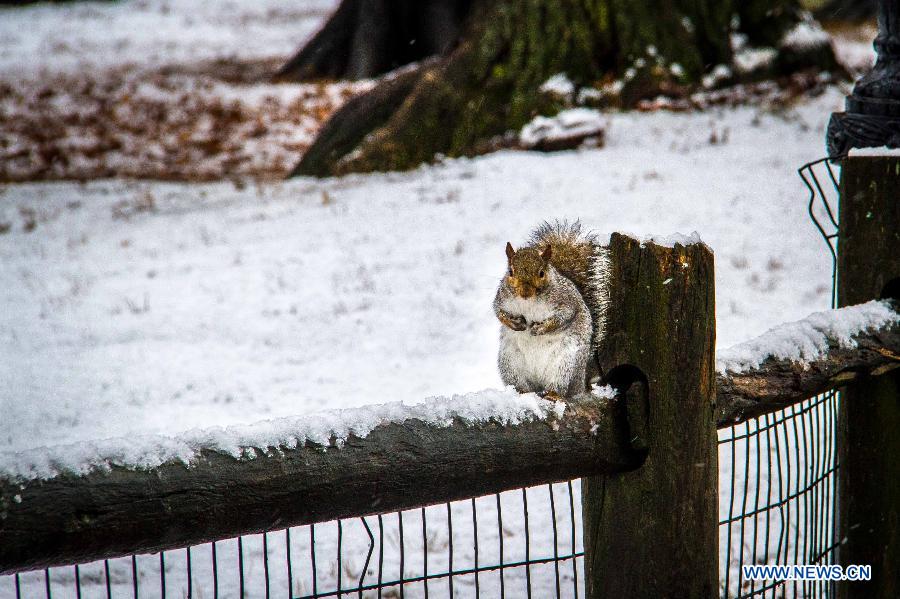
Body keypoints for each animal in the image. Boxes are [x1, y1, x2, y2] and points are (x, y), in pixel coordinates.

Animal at [492, 220, 612, 398]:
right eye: (510, 272)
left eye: (541, 273)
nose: (525, 292)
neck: (529, 302)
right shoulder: (502, 298)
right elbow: (498, 311)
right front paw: (514, 323)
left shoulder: (566, 301)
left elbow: (564, 317)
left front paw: (541, 328)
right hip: (509, 363)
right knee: (523, 385)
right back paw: (521, 391)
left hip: (565, 365)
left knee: (559, 386)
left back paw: (552, 394)